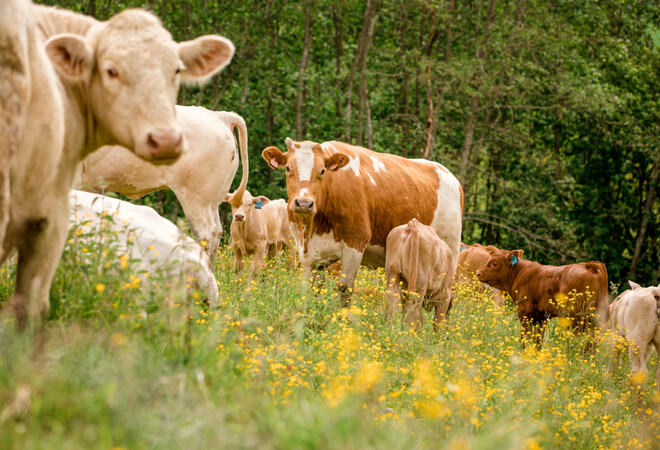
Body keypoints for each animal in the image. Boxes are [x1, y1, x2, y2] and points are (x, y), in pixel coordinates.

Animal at [260, 137, 462, 306]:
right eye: (288, 168)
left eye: (322, 171)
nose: (304, 203)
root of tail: (448, 174)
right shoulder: (308, 253)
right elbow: (311, 290)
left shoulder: (355, 244)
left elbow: (344, 290)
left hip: (450, 256)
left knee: (445, 298)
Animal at [474, 250, 608, 348]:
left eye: (494, 263)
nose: (478, 274)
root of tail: (589, 265)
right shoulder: (541, 317)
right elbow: (538, 340)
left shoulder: (524, 313)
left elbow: (525, 337)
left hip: (577, 317)